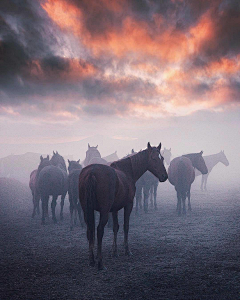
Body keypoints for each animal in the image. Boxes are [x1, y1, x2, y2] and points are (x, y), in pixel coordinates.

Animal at [78, 142, 167, 270]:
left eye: (162, 158)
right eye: (154, 158)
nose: (164, 176)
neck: (127, 171)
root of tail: (92, 172)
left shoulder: (114, 209)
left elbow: (116, 227)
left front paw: (114, 251)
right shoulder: (128, 205)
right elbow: (126, 226)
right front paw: (127, 250)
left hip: (87, 210)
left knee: (90, 230)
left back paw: (92, 260)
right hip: (104, 211)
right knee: (99, 230)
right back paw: (100, 263)